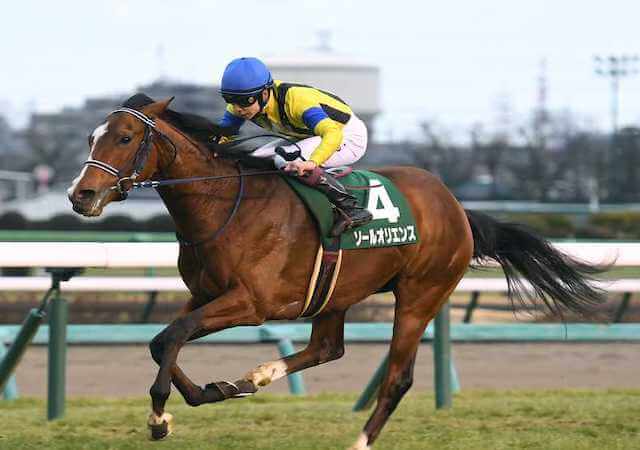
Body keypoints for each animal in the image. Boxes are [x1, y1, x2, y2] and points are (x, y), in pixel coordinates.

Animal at [67, 96, 605, 449]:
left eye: (125, 137)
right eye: (92, 137)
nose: (80, 195)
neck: (226, 206)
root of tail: (456, 207)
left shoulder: (251, 303)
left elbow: (175, 334)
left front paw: (160, 416)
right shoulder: (204, 294)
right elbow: (163, 340)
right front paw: (205, 393)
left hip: (420, 296)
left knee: (397, 379)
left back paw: (359, 441)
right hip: (336, 293)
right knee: (328, 348)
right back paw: (255, 376)